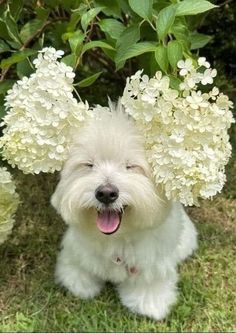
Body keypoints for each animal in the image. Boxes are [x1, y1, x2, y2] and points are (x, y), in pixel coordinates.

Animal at [51, 103, 197, 320]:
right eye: (89, 165)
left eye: (130, 166)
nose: (106, 193)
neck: (117, 237)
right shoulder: (77, 249)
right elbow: (77, 270)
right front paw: (80, 284)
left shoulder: (152, 263)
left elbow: (149, 285)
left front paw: (149, 303)